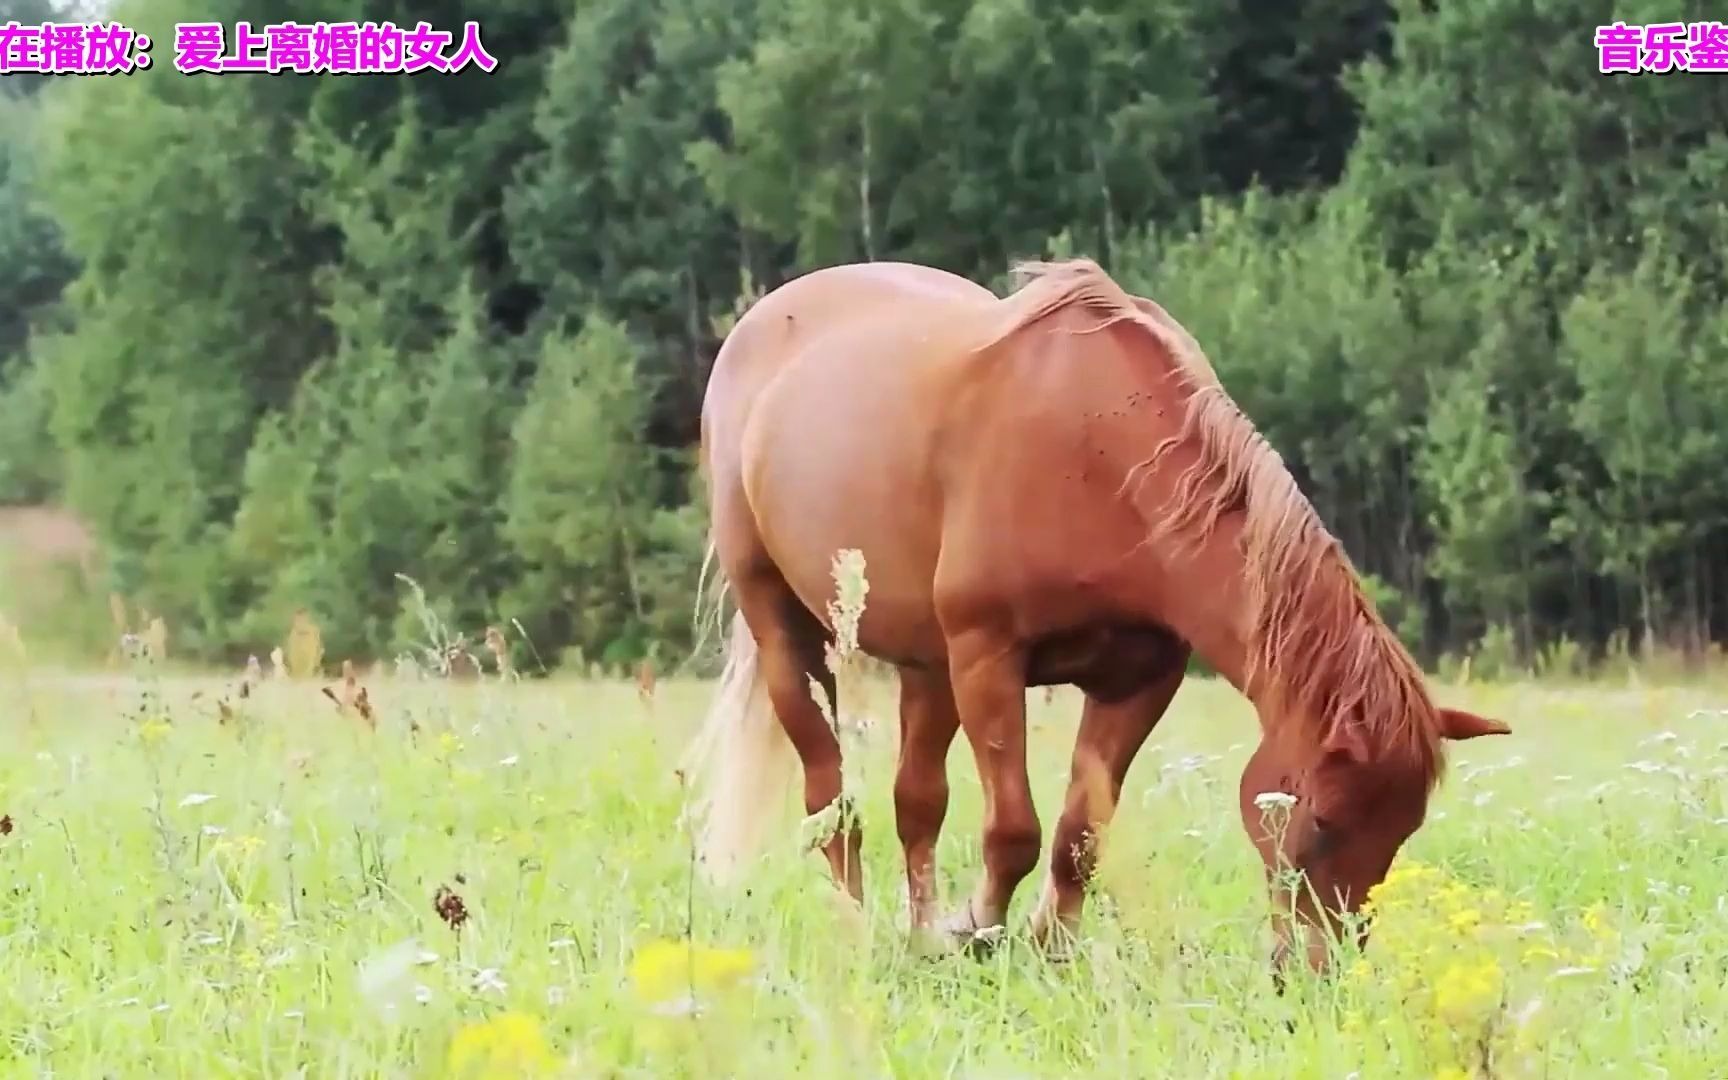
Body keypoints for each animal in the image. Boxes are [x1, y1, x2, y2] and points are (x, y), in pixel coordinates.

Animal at [680, 259, 1506, 967]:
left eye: (1405, 826)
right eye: (1326, 821)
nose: (1319, 973)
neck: (1100, 455)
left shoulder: (1137, 680)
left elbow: (1079, 836)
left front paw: (1049, 948)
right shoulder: (987, 659)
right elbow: (1014, 830)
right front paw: (976, 930)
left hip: (925, 666)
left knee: (916, 803)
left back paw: (917, 935)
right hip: (786, 628)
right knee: (833, 802)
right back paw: (863, 930)